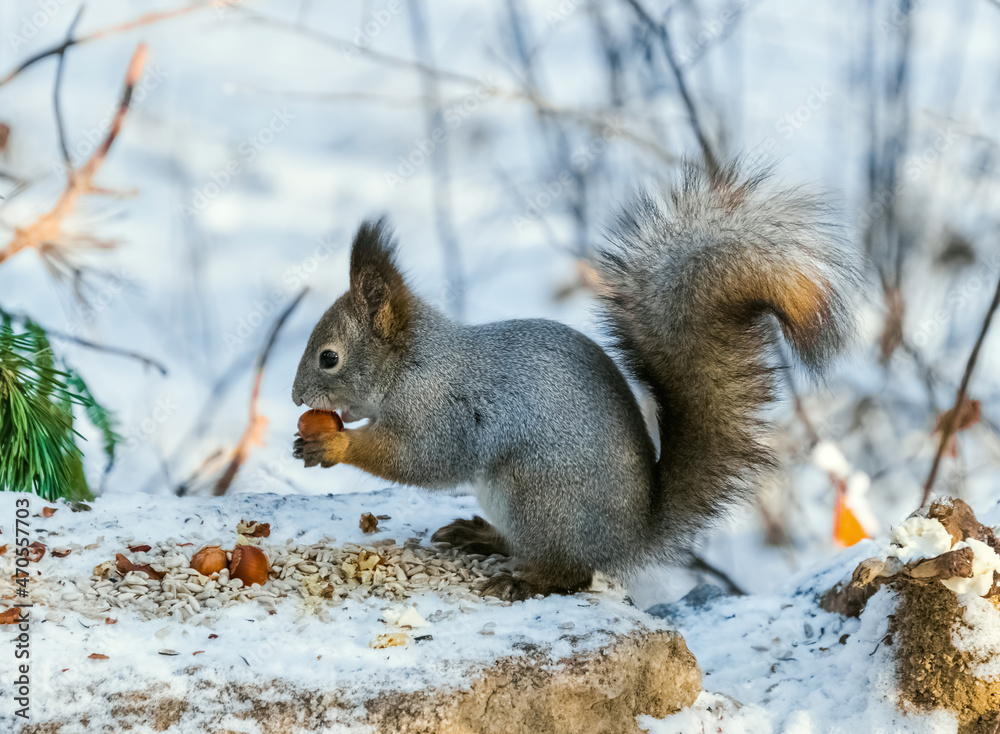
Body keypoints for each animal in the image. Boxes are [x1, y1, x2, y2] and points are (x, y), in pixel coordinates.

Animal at [291, 161, 863, 602]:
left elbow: (421, 458)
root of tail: (628, 540)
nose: (296, 397)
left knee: (571, 574)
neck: (413, 363)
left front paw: (335, 444)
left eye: (329, 358)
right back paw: (483, 537)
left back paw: (524, 582)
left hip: (537, 496)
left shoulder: (442, 410)